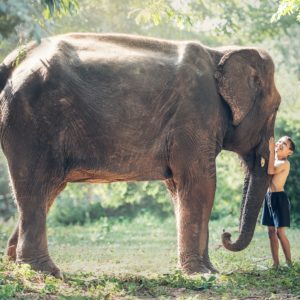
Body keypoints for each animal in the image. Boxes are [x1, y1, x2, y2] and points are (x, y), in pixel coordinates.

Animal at [0, 32, 282, 276]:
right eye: (277, 107)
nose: (227, 235)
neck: (221, 52)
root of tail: (13, 61)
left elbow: (178, 188)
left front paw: (209, 271)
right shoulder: (194, 116)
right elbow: (200, 184)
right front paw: (201, 274)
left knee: (48, 190)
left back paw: (16, 265)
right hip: (31, 123)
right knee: (35, 186)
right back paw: (45, 271)